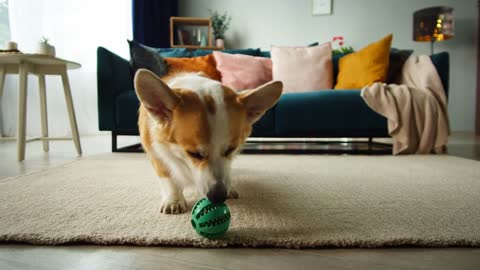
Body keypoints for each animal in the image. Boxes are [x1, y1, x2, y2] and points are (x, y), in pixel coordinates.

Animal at [133, 68, 284, 214]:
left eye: (231, 149)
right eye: (194, 154)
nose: (219, 196)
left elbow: (226, 171)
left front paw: (230, 187)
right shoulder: (156, 154)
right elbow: (169, 179)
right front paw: (174, 200)